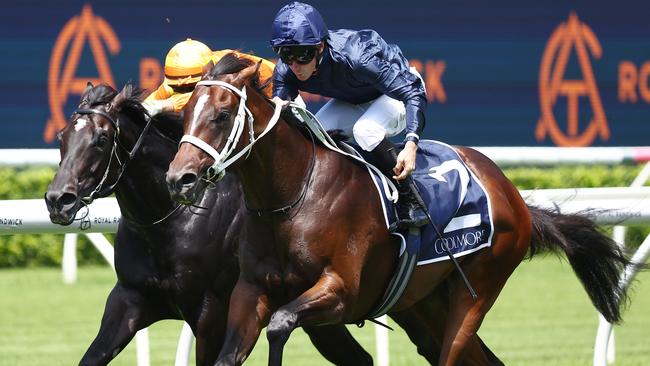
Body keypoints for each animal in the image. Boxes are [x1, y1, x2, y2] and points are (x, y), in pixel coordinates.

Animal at [44, 81, 374, 364]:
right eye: (61, 137)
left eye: (101, 140)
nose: (58, 199)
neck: (169, 222)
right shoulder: (129, 298)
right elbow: (91, 357)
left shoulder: (211, 312)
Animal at [165, 55, 632, 366]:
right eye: (184, 116)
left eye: (222, 114)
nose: (178, 179)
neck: (294, 197)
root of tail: (512, 194)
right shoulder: (250, 291)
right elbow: (231, 353)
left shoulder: (341, 292)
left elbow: (281, 324)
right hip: (425, 300)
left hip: (477, 291)